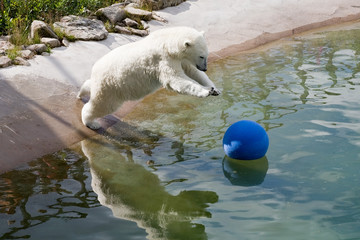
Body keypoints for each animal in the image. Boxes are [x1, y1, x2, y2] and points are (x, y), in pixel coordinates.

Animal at [77, 26, 221, 129]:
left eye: (207, 54)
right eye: (201, 56)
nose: (205, 68)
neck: (168, 42)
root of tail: (95, 69)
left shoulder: (180, 59)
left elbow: (193, 72)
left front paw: (215, 89)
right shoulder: (162, 58)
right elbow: (175, 79)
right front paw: (206, 91)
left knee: (91, 87)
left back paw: (81, 93)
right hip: (111, 86)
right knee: (103, 105)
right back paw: (91, 123)